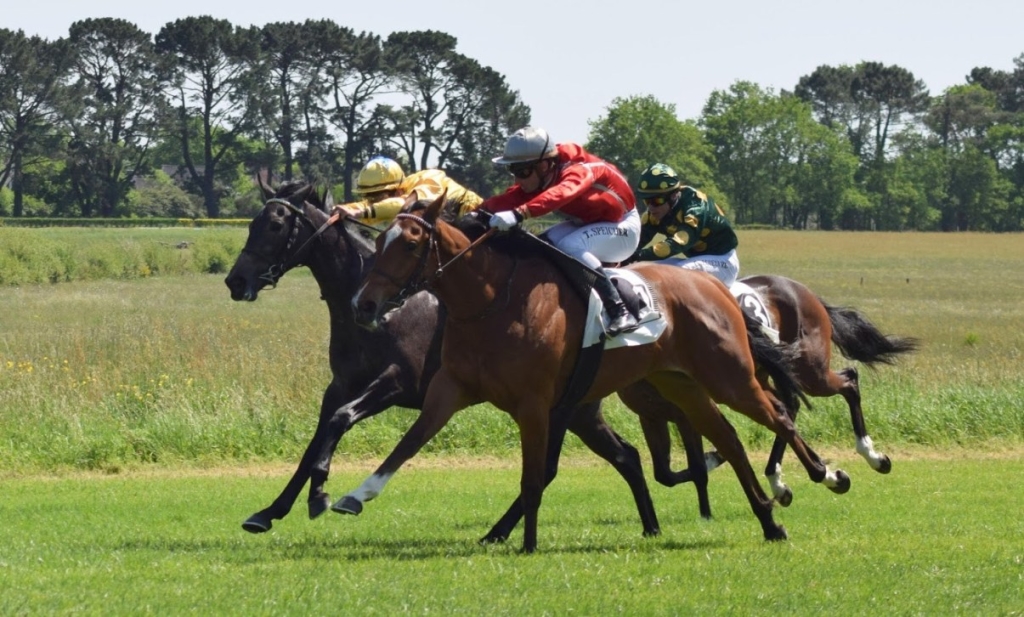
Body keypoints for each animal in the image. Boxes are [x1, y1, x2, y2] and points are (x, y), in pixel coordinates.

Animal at [222, 182, 663, 536]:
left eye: (275, 225)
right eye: (252, 223)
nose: (236, 281)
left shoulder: (398, 382)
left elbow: (340, 421)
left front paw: (320, 492)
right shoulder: (342, 384)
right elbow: (317, 440)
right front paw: (271, 510)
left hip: (569, 407)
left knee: (589, 461)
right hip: (576, 409)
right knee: (622, 456)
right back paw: (645, 526)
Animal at [344, 195, 847, 552]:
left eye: (410, 244)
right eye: (380, 241)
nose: (364, 305)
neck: (491, 299)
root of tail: (712, 285)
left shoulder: (535, 403)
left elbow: (534, 475)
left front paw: (527, 543)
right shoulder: (452, 388)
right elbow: (407, 444)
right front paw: (355, 495)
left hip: (729, 376)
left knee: (778, 414)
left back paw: (823, 476)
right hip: (682, 384)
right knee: (728, 437)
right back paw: (769, 519)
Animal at [643, 274, 917, 511]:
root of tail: (804, 291)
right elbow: (665, 471)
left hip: (808, 372)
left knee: (848, 380)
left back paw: (872, 456)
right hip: (766, 375)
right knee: (790, 405)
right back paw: (779, 480)